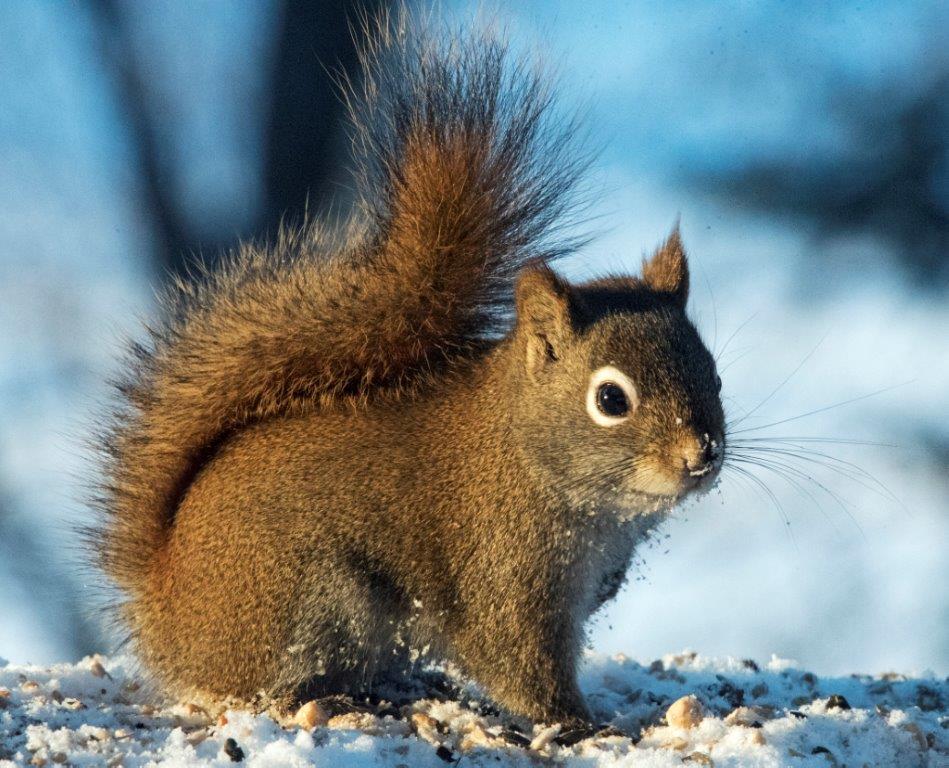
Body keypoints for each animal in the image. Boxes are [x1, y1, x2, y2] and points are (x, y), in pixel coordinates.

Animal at [90, 13, 725, 726]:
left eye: (714, 375)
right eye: (612, 400)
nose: (702, 453)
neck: (528, 458)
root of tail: (164, 613)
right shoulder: (502, 575)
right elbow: (520, 666)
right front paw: (578, 725)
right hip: (304, 604)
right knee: (258, 690)